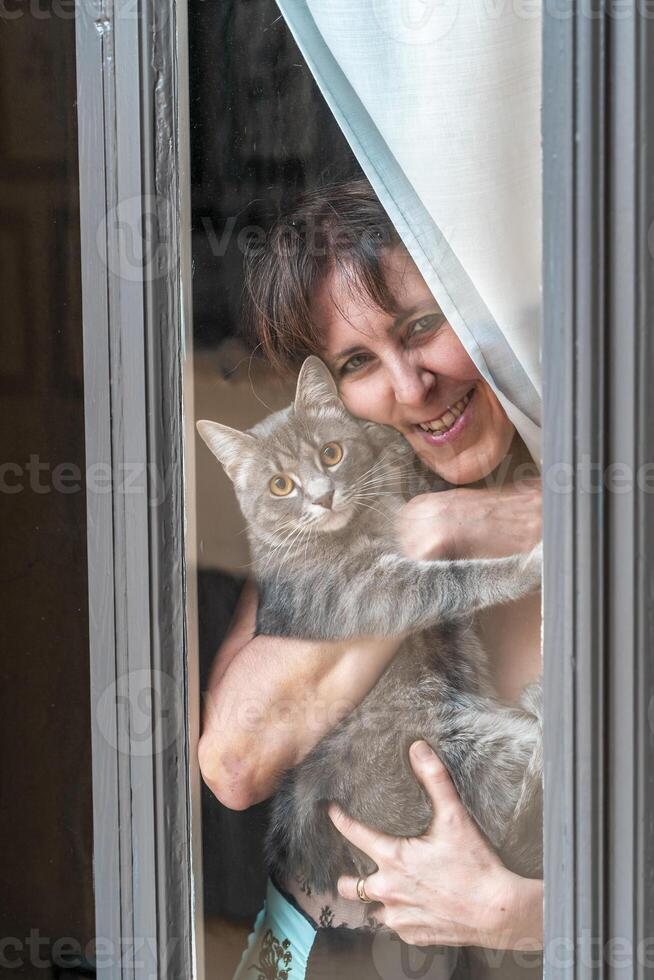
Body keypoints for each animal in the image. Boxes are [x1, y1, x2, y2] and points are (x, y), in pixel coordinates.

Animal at [197, 354, 544, 896]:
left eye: (331, 453)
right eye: (280, 485)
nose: (323, 498)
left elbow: (400, 461)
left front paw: (388, 445)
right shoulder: (367, 591)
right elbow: (454, 579)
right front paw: (526, 566)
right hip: (465, 756)